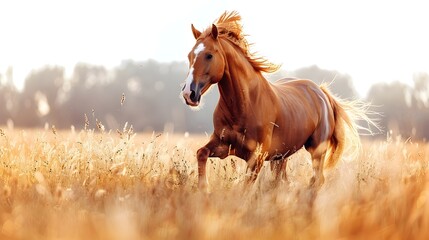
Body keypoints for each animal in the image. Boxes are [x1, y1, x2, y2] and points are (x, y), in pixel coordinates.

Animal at [179, 11, 372, 190]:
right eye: (189, 56)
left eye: (209, 55)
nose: (189, 93)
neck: (245, 104)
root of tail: (322, 92)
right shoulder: (223, 145)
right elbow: (201, 153)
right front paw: (204, 188)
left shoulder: (256, 157)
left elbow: (245, 188)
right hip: (281, 157)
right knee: (283, 181)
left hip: (317, 150)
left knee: (316, 180)